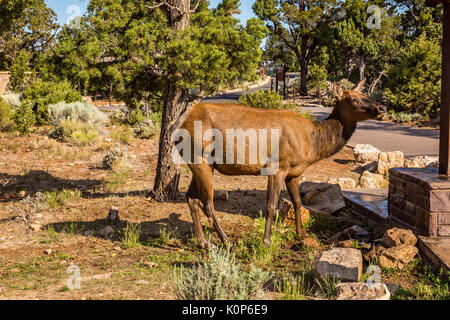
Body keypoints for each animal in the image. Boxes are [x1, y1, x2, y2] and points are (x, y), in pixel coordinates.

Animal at [174, 79, 384, 249]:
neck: (313, 144)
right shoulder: (278, 167)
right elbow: (270, 206)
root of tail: (178, 126)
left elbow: (298, 203)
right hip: (200, 158)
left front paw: (301, 234)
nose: (381, 108)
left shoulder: (294, 172)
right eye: (353, 100)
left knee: (191, 198)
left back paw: (204, 242)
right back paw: (227, 242)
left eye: (364, 94)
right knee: (207, 203)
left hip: (200, 163)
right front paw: (266, 241)